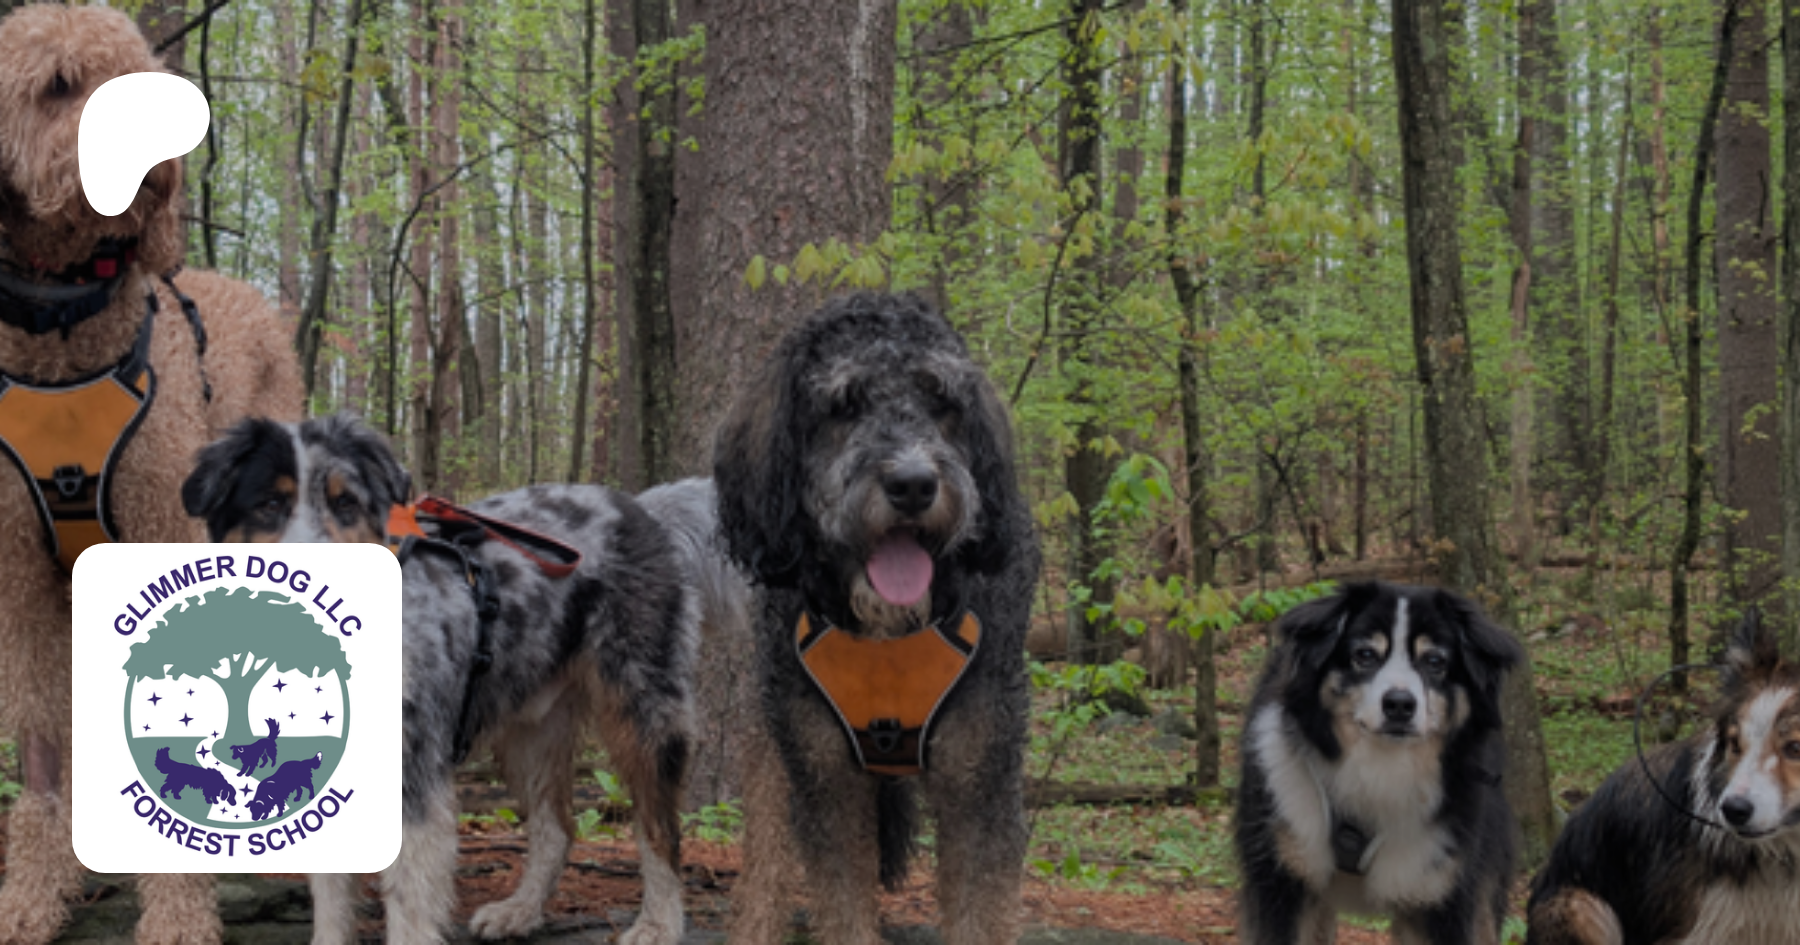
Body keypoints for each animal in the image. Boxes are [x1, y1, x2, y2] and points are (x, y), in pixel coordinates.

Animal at [0, 7, 302, 944]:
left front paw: (176, 911)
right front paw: (31, 895)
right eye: (59, 83)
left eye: (138, 75)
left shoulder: (157, 530)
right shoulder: (25, 582)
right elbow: (43, 746)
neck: (63, 327)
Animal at [181, 413, 697, 945]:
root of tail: (638, 506)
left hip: (640, 710)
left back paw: (659, 922)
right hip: (531, 729)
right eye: (269, 504)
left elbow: (409, 905)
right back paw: (521, 910)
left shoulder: (414, 776)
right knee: (556, 827)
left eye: (346, 503)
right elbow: (331, 895)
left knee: (659, 828)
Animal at [712, 292, 1040, 945]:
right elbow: (840, 901)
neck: (890, 630)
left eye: (941, 400)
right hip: (774, 736)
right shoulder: (825, 776)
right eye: (843, 403)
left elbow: (979, 907)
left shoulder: (980, 781)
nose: (913, 484)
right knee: (763, 863)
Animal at [1235, 580, 1524, 944]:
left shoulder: (1439, 889)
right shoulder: (1283, 873)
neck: (1378, 765)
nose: (1399, 705)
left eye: (1434, 660)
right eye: (1365, 655)